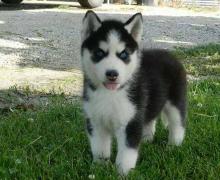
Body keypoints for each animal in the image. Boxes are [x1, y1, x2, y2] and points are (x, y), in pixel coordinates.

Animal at [81, 10, 187, 174]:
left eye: (123, 54)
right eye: (99, 53)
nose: (112, 74)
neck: (111, 94)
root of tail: (169, 54)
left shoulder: (131, 122)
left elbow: (127, 153)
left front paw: (123, 173)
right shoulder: (95, 121)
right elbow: (99, 148)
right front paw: (99, 167)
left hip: (175, 102)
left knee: (178, 123)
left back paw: (173, 146)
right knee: (150, 119)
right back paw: (147, 139)